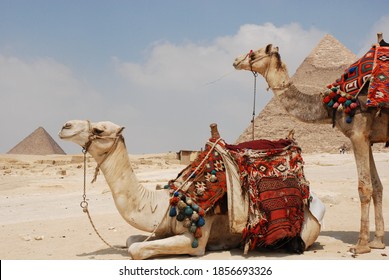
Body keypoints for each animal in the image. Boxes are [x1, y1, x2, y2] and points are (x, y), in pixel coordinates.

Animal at [59, 119, 322, 260]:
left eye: (99, 130)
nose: (65, 126)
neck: (163, 202)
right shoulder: (163, 226)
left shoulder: (195, 238)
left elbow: (135, 248)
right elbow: (130, 238)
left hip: (306, 231)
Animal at [232, 34, 386, 254]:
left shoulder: (358, 133)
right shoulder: (369, 138)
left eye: (253, 54)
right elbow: (377, 186)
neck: (332, 104)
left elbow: (364, 187)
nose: (236, 60)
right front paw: (377, 242)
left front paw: (361, 245)